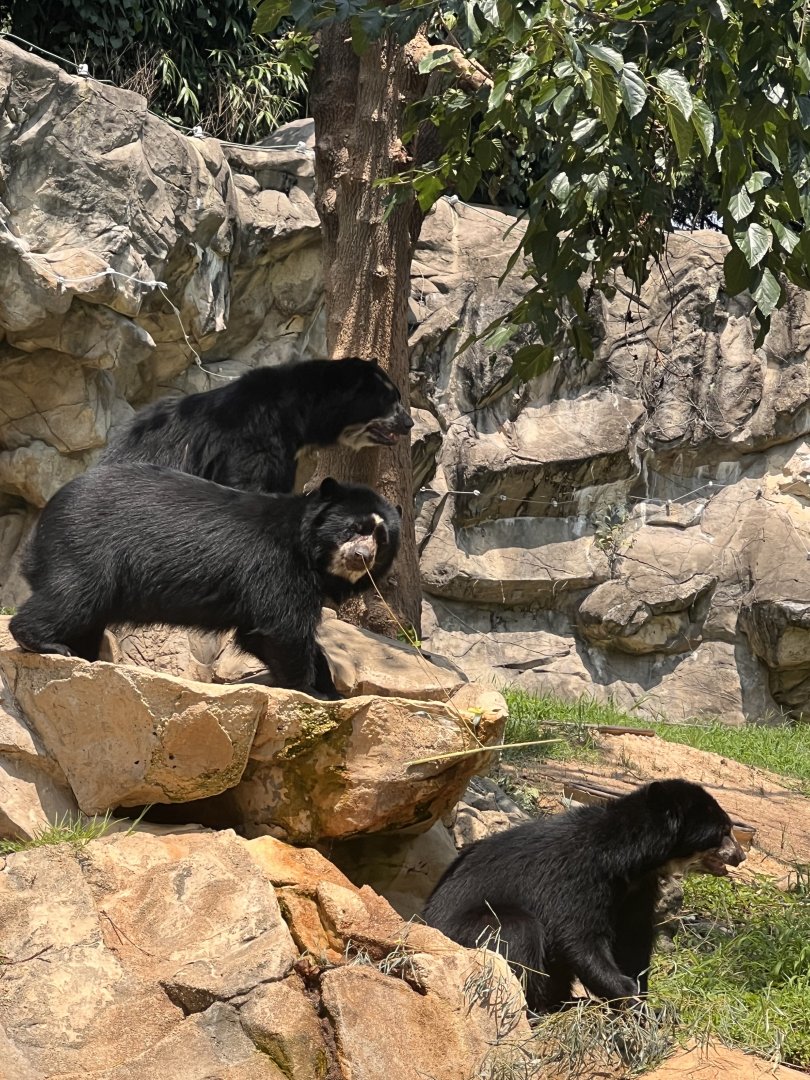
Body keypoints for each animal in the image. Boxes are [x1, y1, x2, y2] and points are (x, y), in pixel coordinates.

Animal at [9, 464, 401, 699]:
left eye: (381, 540)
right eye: (354, 528)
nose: (362, 557)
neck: (310, 553)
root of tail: (49, 512)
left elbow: (258, 633)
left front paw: (328, 688)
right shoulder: (276, 566)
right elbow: (283, 628)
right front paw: (310, 690)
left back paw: (83, 655)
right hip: (87, 546)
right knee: (73, 595)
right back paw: (46, 643)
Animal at [422, 779, 744, 1013]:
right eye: (724, 831)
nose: (740, 856)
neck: (631, 862)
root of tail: (425, 919)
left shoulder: (637, 890)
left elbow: (633, 939)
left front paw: (644, 1000)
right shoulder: (576, 877)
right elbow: (579, 937)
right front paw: (629, 998)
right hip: (463, 931)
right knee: (516, 932)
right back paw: (539, 1009)